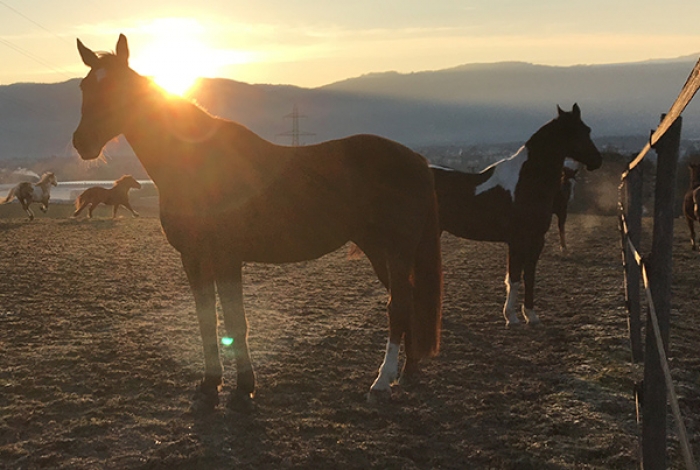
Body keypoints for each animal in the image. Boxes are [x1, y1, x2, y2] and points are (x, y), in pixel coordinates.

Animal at [72, 34, 442, 412]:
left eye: (120, 88)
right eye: (85, 86)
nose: (82, 143)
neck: (198, 165)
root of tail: (417, 160)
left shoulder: (227, 257)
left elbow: (236, 320)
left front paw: (243, 388)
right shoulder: (193, 257)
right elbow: (207, 319)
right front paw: (210, 384)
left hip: (396, 250)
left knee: (397, 307)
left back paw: (381, 382)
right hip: (378, 250)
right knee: (407, 301)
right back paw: (406, 373)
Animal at [432, 104, 600, 326]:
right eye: (584, 131)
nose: (597, 160)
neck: (526, 182)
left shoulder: (536, 240)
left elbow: (528, 276)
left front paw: (530, 314)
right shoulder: (517, 241)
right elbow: (514, 278)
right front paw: (510, 316)